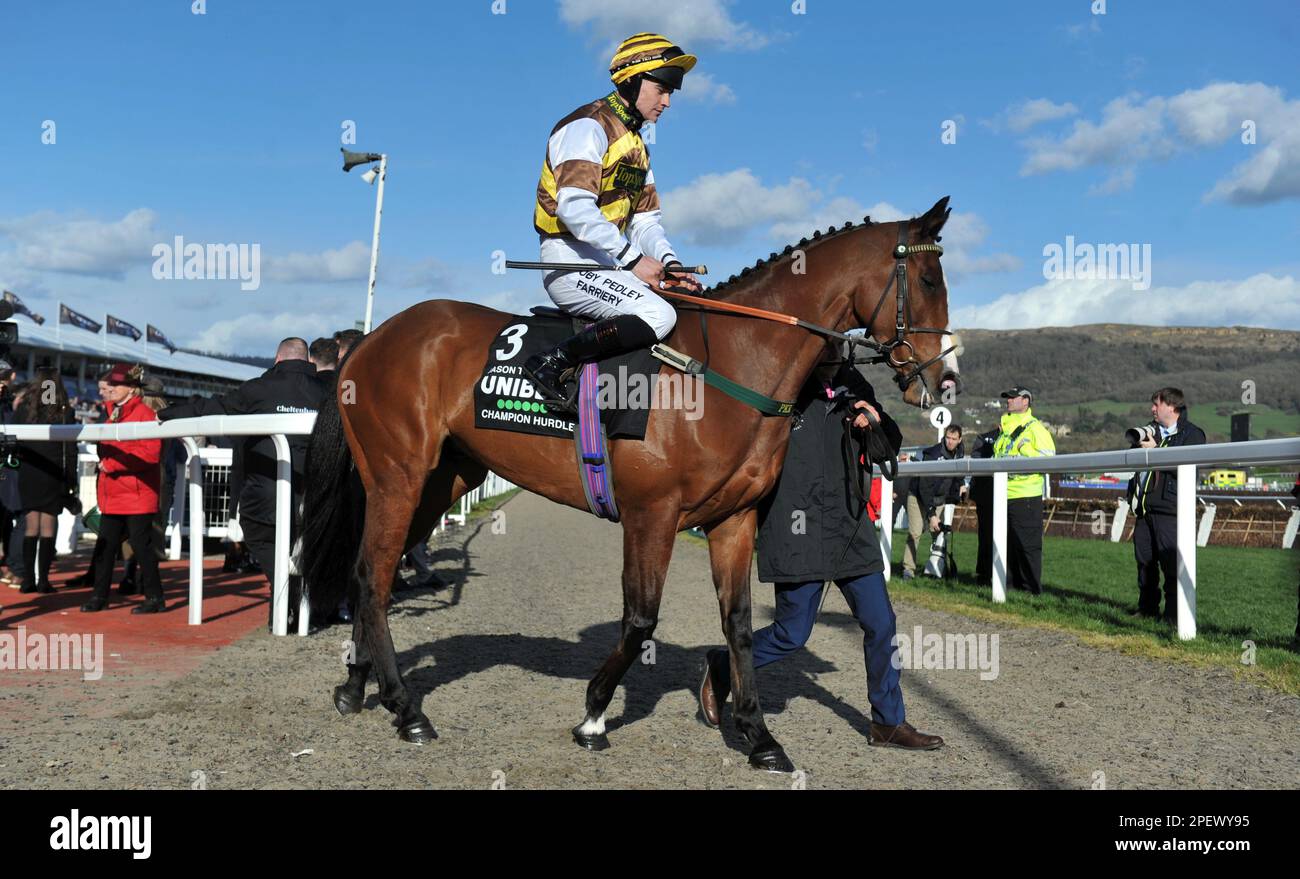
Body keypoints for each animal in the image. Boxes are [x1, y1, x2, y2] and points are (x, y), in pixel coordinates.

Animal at [299, 193, 961, 769]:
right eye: (931, 281)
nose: (945, 378)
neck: (726, 366)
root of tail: (372, 339)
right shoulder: (652, 513)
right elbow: (641, 616)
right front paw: (594, 713)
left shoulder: (734, 519)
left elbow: (740, 623)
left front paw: (757, 734)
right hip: (398, 475)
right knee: (372, 576)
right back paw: (406, 708)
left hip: (444, 480)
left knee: (371, 572)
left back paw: (356, 685)